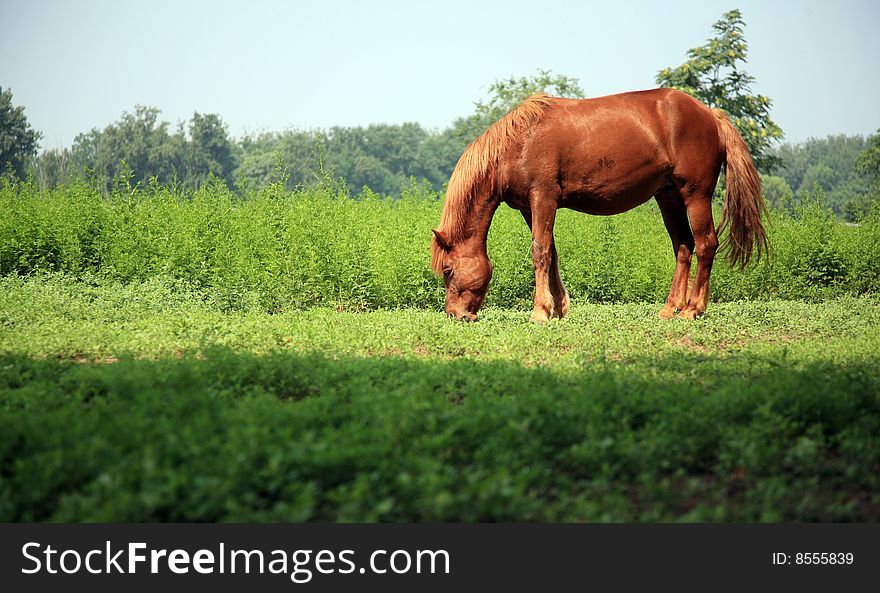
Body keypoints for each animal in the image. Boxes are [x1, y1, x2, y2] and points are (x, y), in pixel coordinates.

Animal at [430, 88, 768, 320]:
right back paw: (670, 308)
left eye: (447, 270)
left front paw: (540, 311)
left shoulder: (543, 198)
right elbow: (552, 252)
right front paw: (559, 308)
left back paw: (693, 309)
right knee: (684, 246)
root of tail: (710, 114)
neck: (520, 142)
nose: (455, 315)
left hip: (695, 195)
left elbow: (540, 252)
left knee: (706, 244)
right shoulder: (530, 207)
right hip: (668, 196)